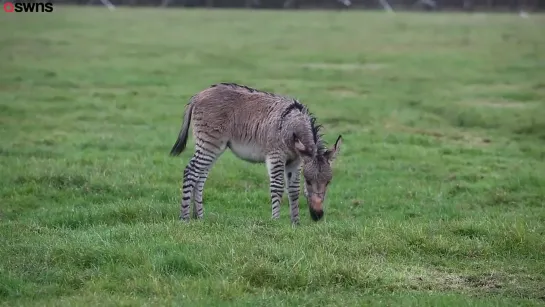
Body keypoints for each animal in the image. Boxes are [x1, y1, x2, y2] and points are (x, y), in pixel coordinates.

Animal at [168, 83, 342, 225]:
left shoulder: (296, 161)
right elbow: (277, 187)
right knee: (191, 171)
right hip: (209, 143)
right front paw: (275, 221)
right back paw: (184, 218)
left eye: (328, 182)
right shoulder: (276, 156)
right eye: (309, 181)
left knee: (200, 176)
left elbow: (293, 190)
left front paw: (296, 223)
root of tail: (198, 95)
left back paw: (199, 217)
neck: (291, 125)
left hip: (214, 147)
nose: (318, 216)